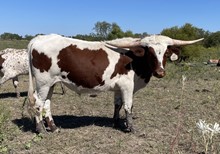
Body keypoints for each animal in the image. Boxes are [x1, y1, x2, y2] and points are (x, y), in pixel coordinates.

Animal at [27, 33, 203, 132]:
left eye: (166, 53)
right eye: (150, 53)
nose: (160, 72)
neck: (134, 59)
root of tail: (40, 38)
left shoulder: (119, 88)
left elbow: (118, 105)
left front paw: (116, 123)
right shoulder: (127, 86)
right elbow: (128, 106)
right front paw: (130, 128)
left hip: (51, 83)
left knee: (46, 104)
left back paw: (53, 127)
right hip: (43, 83)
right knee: (38, 104)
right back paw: (40, 129)